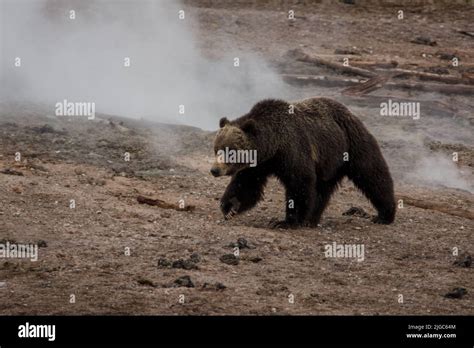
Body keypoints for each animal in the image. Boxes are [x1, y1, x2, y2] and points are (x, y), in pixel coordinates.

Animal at [211, 98, 396, 228]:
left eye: (230, 151)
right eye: (216, 149)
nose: (214, 170)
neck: (273, 146)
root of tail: (350, 112)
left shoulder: (293, 151)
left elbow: (299, 182)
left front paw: (286, 221)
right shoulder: (259, 164)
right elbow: (246, 185)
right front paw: (230, 207)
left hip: (352, 144)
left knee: (372, 175)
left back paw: (384, 214)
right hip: (328, 162)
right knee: (322, 189)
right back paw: (312, 219)